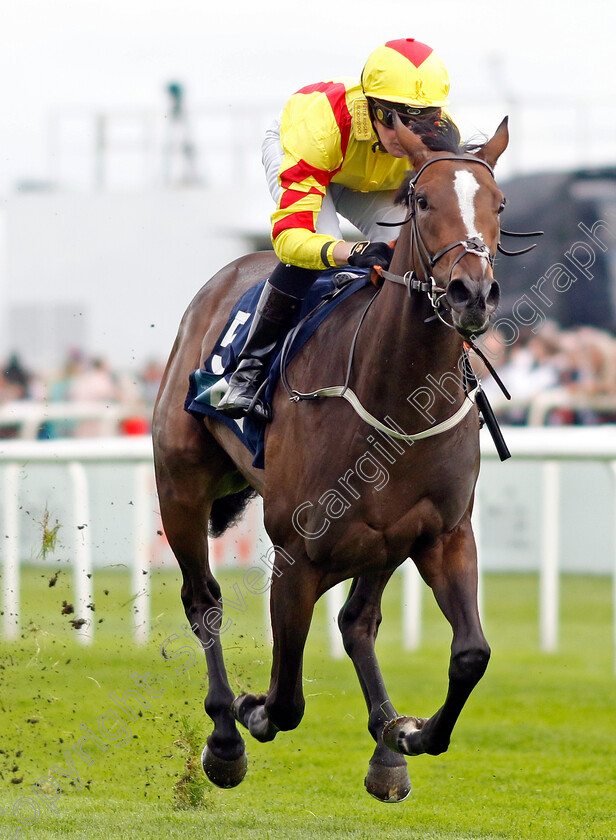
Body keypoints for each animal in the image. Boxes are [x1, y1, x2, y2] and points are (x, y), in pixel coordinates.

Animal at [154, 115, 510, 804]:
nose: (472, 293)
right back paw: (224, 737)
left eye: (499, 203)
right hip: (180, 487)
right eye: (422, 203)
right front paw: (249, 712)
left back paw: (387, 748)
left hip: (384, 541)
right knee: (203, 601)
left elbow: (471, 654)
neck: (397, 401)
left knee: (357, 621)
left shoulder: (444, 534)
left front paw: (411, 734)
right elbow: (285, 698)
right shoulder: (297, 554)